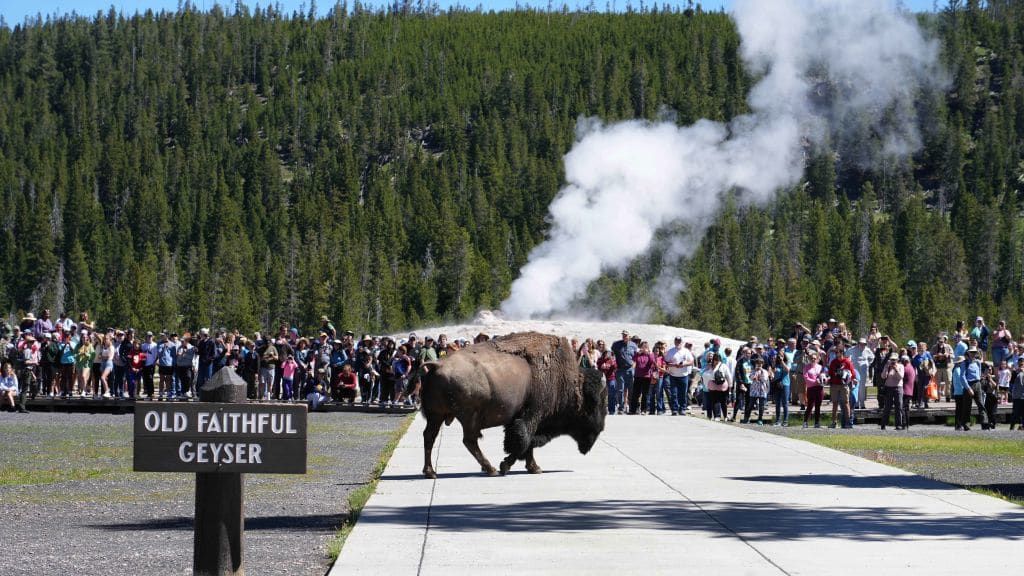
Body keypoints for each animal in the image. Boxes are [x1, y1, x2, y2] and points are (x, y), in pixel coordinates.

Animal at [417, 330, 602, 477]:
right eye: (594, 406)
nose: (598, 431)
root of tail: (437, 365)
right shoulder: (532, 417)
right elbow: (522, 443)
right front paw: (506, 466)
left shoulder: (520, 419)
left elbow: (526, 445)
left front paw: (534, 468)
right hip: (468, 417)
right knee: (468, 440)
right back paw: (490, 469)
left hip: (437, 415)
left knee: (430, 437)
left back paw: (430, 472)